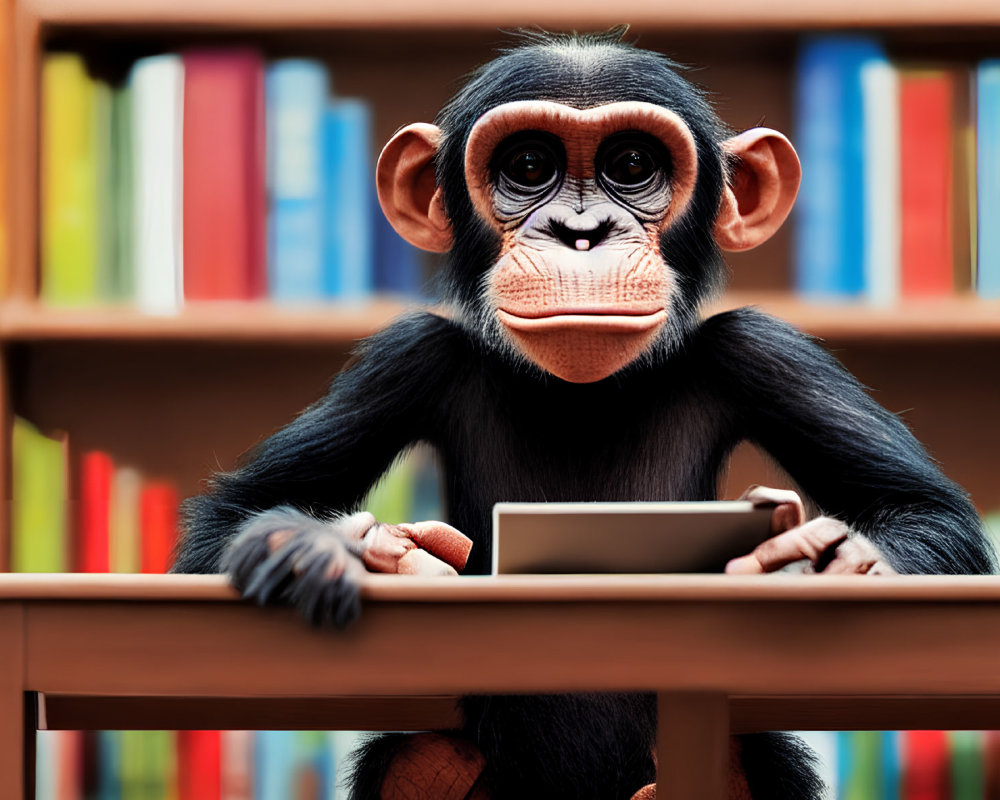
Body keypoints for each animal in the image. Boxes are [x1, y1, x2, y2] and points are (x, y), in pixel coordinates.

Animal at [176, 26, 996, 800]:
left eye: (631, 166)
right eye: (529, 167)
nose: (581, 233)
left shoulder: (768, 349)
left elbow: (925, 510)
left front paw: (824, 559)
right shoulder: (407, 356)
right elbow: (229, 520)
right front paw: (344, 547)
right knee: (417, 763)